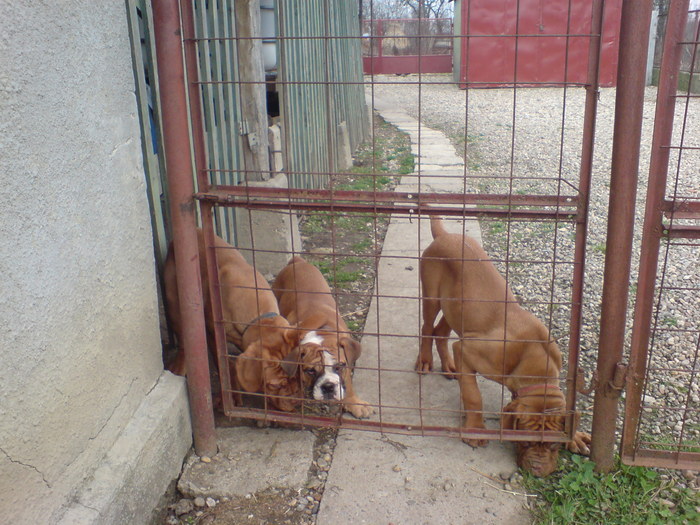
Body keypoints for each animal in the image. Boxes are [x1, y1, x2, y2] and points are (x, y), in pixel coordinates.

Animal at [164, 231, 306, 412]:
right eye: (274, 385)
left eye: (299, 375)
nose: (296, 401)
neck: (260, 315)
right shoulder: (213, 335)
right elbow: (224, 366)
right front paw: (230, 395)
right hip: (175, 304)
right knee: (182, 341)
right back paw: (178, 368)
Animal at [272, 255, 374, 418]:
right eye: (310, 371)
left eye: (339, 366)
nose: (328, 386)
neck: (321, 332)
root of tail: (298, 261)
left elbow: (348, 384)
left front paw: (354, 403)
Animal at [418, 215, 588, 476]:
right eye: (524, 441)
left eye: (554, 445)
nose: (537, 470)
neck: (532, 356)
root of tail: (446, 235)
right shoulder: (466, 351)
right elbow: (473, 395)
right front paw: (475, 429)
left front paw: (575, 436)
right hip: (432, 297)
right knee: (427, 328)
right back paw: (425, 362)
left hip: (456, 308)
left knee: (441, 332)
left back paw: (448, 366)